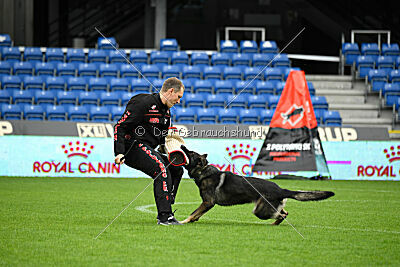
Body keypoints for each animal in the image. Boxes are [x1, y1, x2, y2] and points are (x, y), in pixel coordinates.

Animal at [180, 147, 334, 226]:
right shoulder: (207, 204)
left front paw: (184, 221)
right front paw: (192, 220)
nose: (182, 146)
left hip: (259, 211)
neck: (203, 172)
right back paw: (275, 224)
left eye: (190, 153)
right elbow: (197, 214)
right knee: (284, 212)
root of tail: (281, 189)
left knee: (281, 214)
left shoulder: (208, 202)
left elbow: (193, 212)